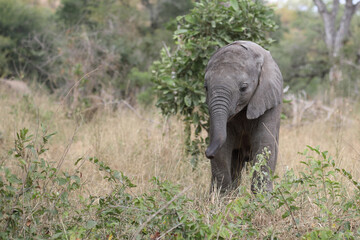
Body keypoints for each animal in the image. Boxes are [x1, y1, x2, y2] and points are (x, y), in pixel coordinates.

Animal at [204, 40, 282, 194]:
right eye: (205, 87)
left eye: (243, 88)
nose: (208, 153)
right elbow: (223, 149)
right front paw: (222, 197)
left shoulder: (269, 99)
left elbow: (265, 145)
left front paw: (263, 198)